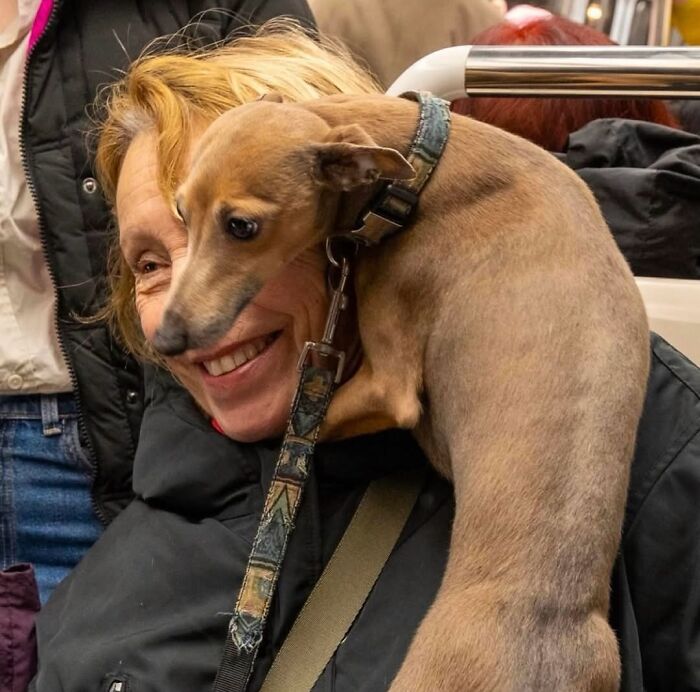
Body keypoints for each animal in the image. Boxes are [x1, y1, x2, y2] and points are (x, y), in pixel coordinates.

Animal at [154, 93, 652, 692]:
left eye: (242, 226)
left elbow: (299, 420)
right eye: (182, 213)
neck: (424, 161)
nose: (165, 339)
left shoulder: (385, 385)